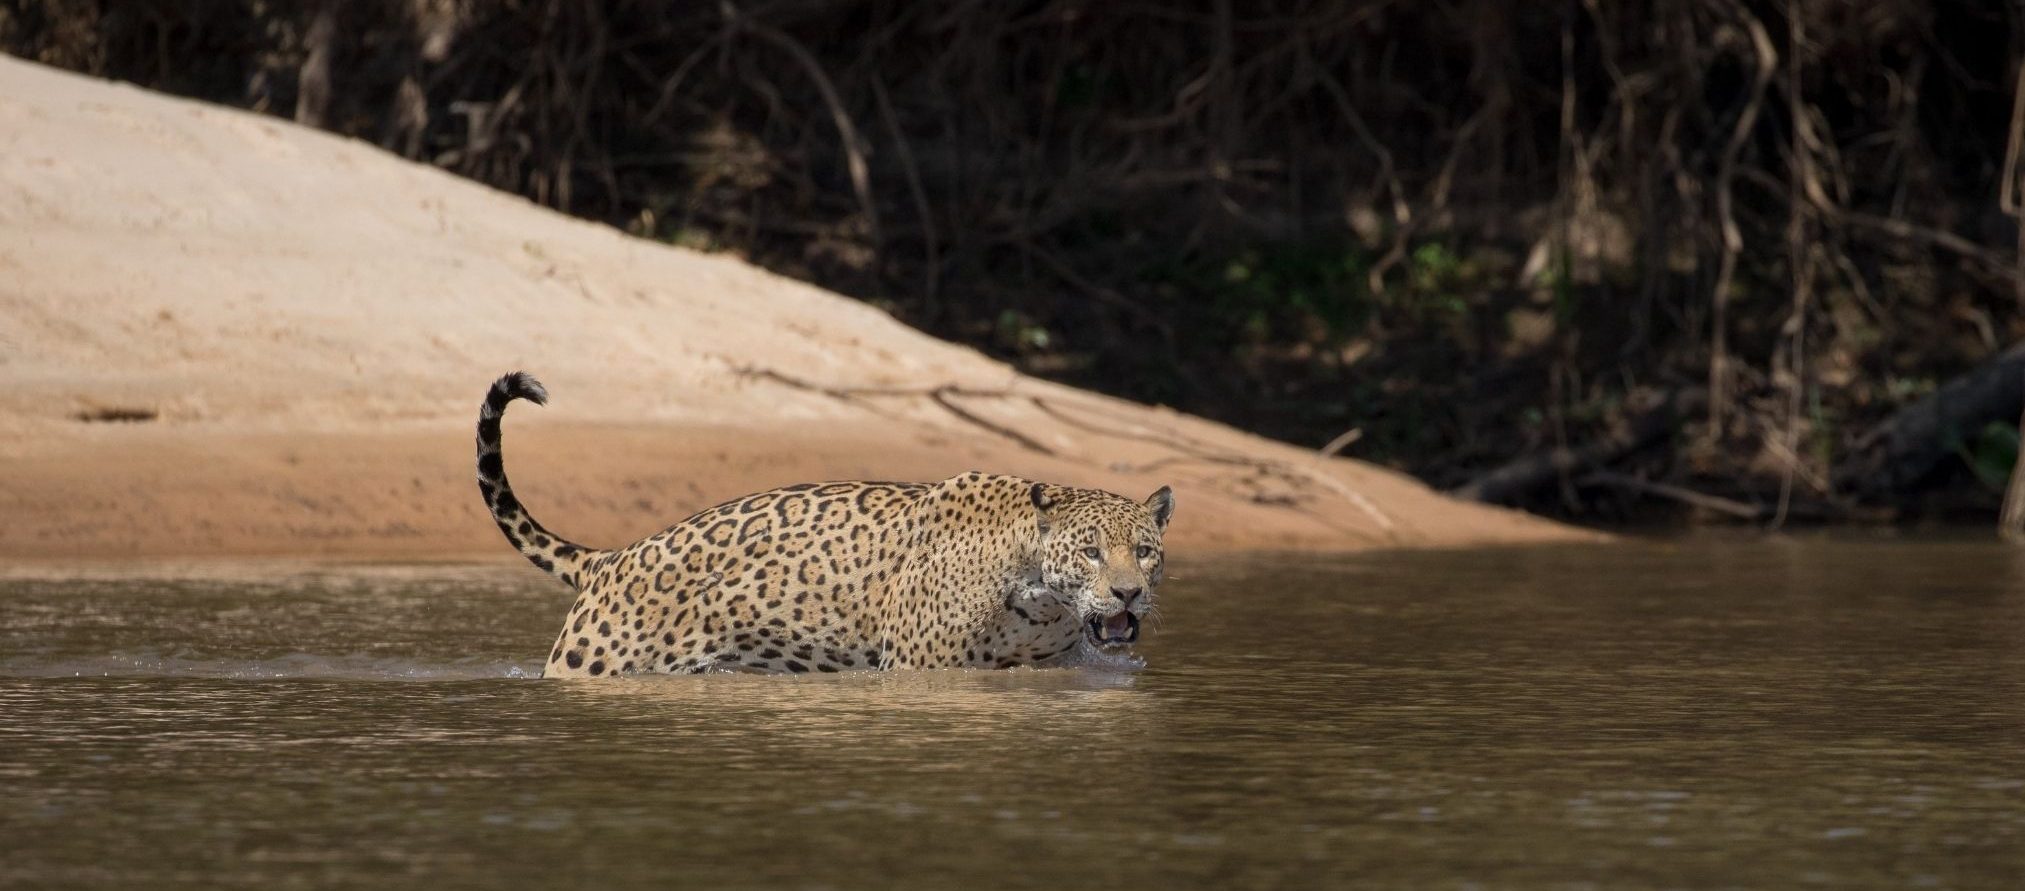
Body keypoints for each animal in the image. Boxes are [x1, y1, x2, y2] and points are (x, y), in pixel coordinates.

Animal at [474, 371, 1175, 678]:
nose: (1128, 593)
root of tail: (610, 558)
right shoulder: (922, 667)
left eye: (1144, 552)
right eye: (1090, 552)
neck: (1038, 597)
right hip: (591, 661)